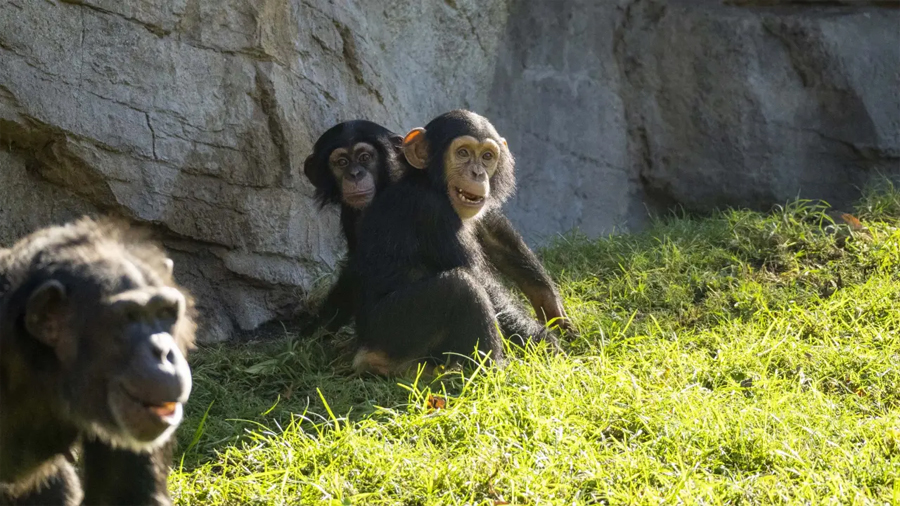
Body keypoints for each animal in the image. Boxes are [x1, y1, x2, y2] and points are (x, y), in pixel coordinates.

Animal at [350, 110, 559, 375]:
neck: (429, 182)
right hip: (392, 334)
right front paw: (544, 341)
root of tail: (364, 355)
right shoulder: (432, 212)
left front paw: (550, 304)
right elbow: (480, 279)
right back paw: (492, 371)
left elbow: (492, 233)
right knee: (461, 287)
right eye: (463, 153)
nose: (478, 173)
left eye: (487, 156)